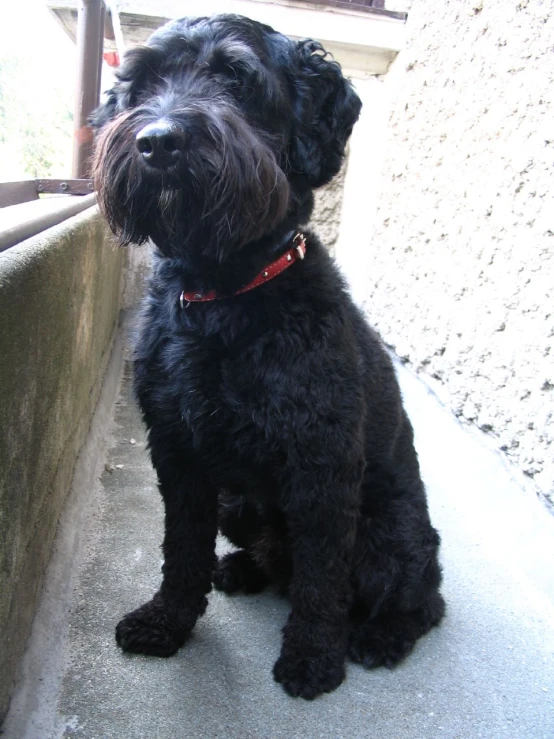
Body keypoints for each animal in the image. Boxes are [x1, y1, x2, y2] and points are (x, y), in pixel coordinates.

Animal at [90, 14, 444, 704]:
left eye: (237, 78)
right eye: (142, 82)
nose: (158, 142)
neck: (222, 296)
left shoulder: (322, 468)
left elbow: (321, 580)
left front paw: (313, 658)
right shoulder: (178, 453)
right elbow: (182, 550)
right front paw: (166, 621)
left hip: (391, 539)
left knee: (421, 600)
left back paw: (380, 636)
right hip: (237, 501)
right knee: (275, 564)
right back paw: (241, 569)